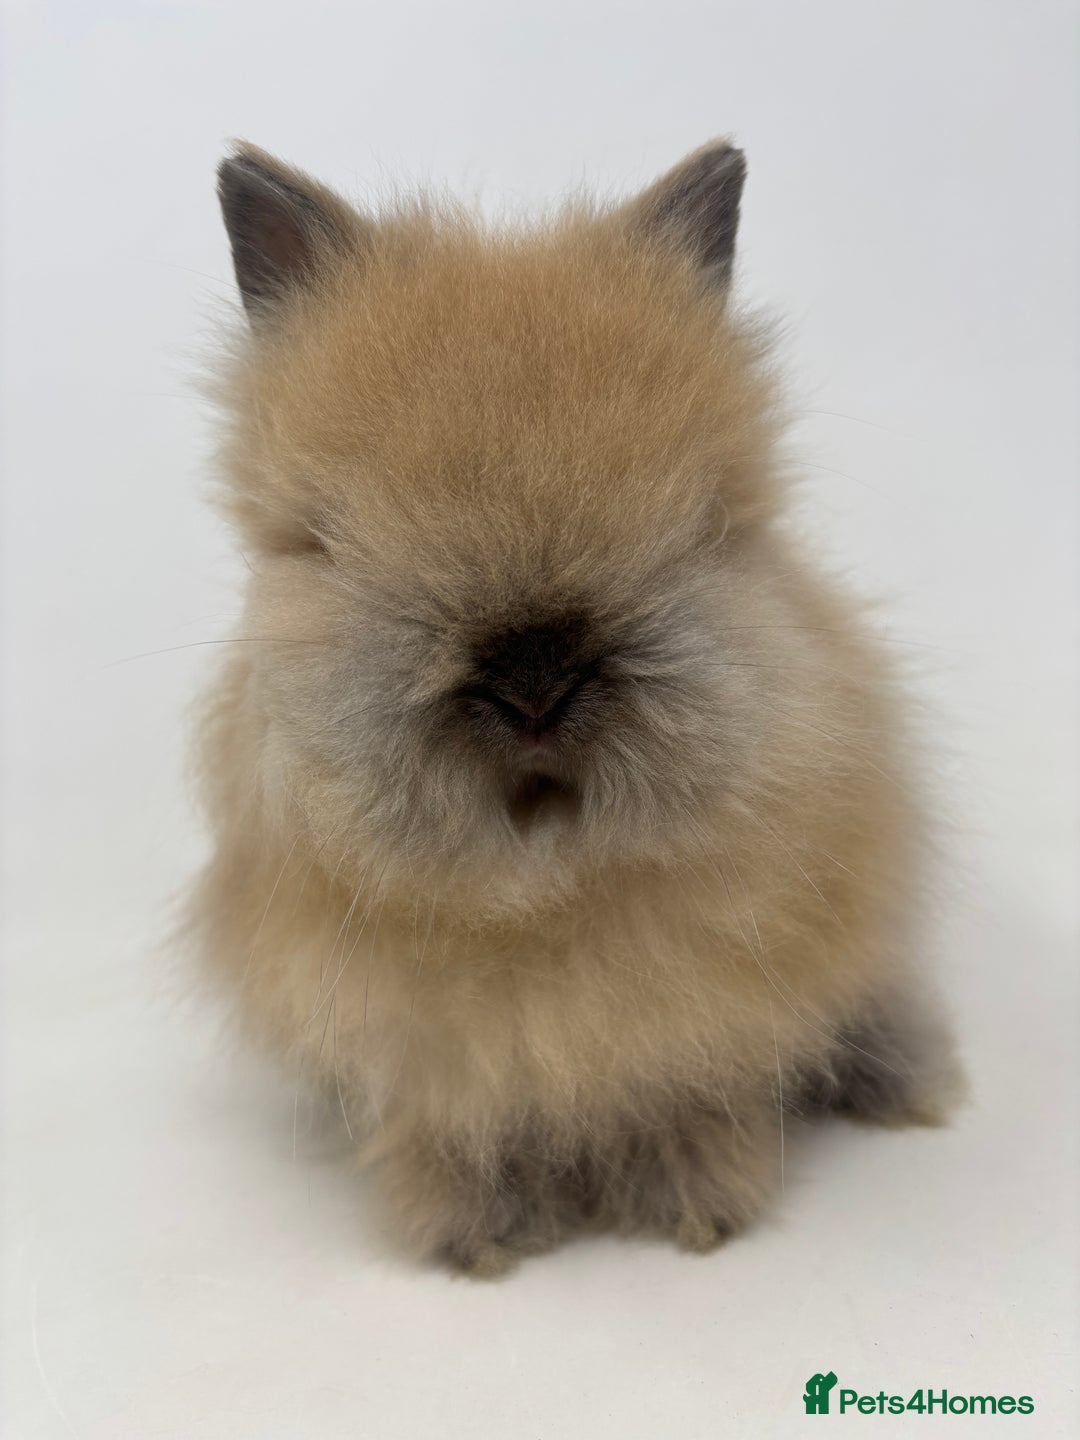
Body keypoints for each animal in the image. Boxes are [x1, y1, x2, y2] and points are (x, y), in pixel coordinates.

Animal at [190, 138, 963, 1276]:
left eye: (703, 524)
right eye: (324, 540)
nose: (535, 682)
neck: (547, 869)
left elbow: (694, 1091)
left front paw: (701, 1208)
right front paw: (471, 1240)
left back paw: (911, 1088)